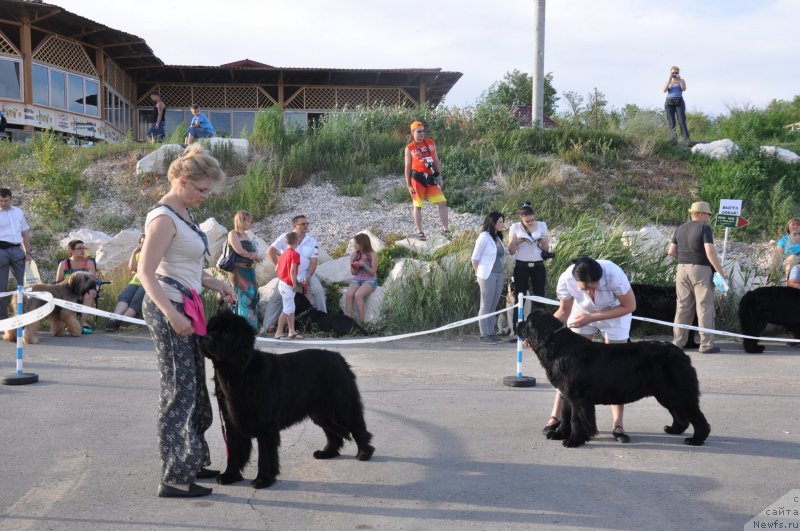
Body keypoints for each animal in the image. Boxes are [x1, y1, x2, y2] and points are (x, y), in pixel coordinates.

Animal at [200, 312, 376, 490]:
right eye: (210, 329)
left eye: (225, 334)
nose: (205, 338)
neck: (237, 373)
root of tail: (339, 358)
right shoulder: (232, 422)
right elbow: (234, 451)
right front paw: (229, 476)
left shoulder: (265, 427)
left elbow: (265, 456)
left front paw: (263, 480)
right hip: (320, 413)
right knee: (333, 434)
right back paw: (327, 453)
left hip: (341, 407)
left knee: (358, 428)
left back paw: (364, 452)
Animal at [520, 308, 712, 448]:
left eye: (527, 321)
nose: (517, 322)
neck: (558, 347)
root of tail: (682, 354)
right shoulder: (567, 395)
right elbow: (565, 416)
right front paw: (559, 434)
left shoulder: (578, 397)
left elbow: (575, 419)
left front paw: (574, 440)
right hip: (666, 394)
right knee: (680, 414)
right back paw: (674, 429)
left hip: (677, 392)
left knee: (696, 416)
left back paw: (696, 439)